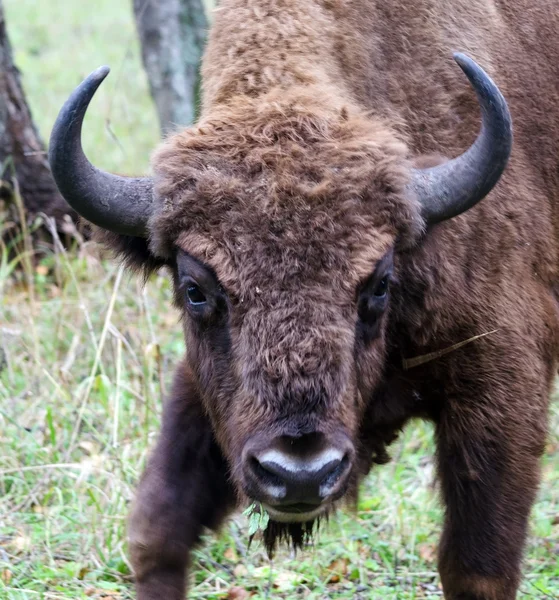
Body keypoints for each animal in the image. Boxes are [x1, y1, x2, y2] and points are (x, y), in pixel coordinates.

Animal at [48, 1, 559, 600]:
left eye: (379, 283)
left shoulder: (501, 383)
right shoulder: (204, 394)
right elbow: (158, 530)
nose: (299, 473)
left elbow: (477, 566)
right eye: (194, 290)